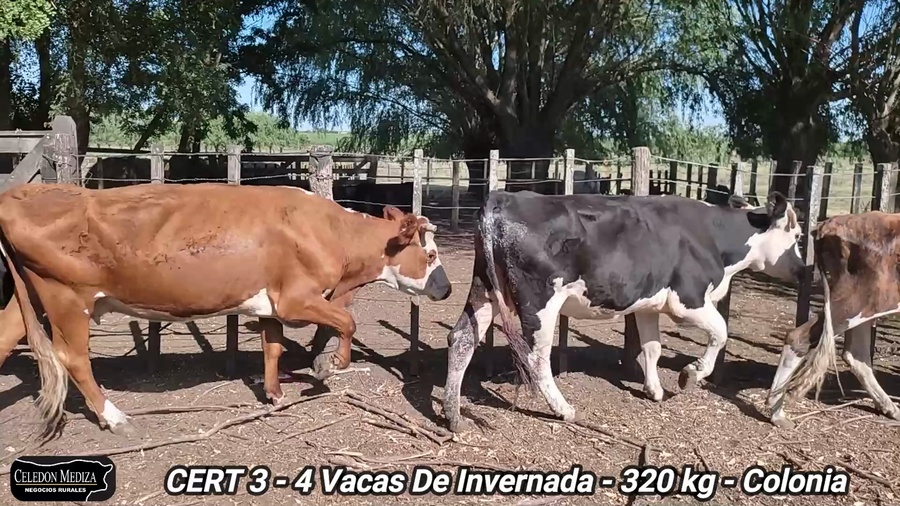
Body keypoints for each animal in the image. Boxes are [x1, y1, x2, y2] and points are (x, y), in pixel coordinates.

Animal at [0, 183, 451, 438]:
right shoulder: (296, 299)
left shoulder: (271, 302)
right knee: (73, 358)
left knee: (7, 337)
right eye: (429, 254)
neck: (330, 230)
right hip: (66, 297)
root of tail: (21, 194)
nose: (446, 288)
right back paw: (115, 417)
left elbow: (273, 346)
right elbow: (348, 320)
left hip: (32, 297)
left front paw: (274, 393)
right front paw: (333, 366)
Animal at [443, 190, 804, 432]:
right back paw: (564, 409)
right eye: (798, 235)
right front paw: (690, 374)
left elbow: (653, 347)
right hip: (540, 300)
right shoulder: (688, 299)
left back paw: (452, 414)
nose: (804, 269)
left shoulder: (649, 303)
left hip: (485, 288)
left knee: (462, 338)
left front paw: (654, 389)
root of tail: (505, 197)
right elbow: (721, 333)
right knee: (536, 357)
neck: (712, 237)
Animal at [767, 212, 900, 428]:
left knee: (855, 354)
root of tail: (830, 224)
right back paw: (777, 412)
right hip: (866, 299)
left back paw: (890, 407)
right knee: (798, 337)